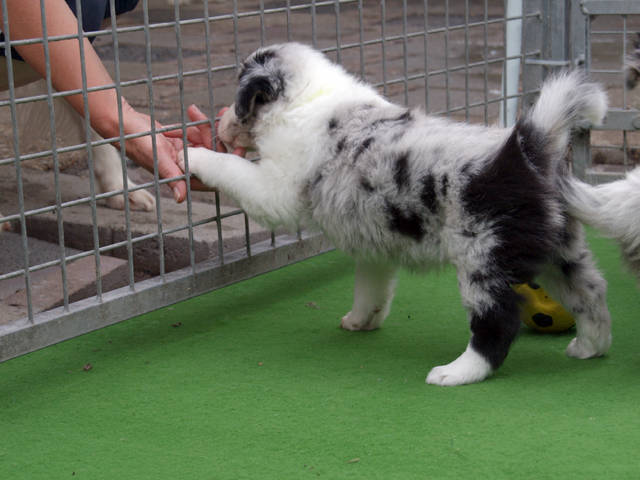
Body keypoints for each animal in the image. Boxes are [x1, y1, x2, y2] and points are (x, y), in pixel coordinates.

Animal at [179, 42, 640, 386]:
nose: (218, 122)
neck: (309, 98)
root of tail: (526, 152)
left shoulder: (275, 189)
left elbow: (233, 170)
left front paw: (191, 155)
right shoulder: (373, 241)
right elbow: (371, 288)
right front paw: (360, 321)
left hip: (483, 257)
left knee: (498, 322)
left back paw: (457, 372)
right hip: (560, 252)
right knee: (591, 295)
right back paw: (589, 347)